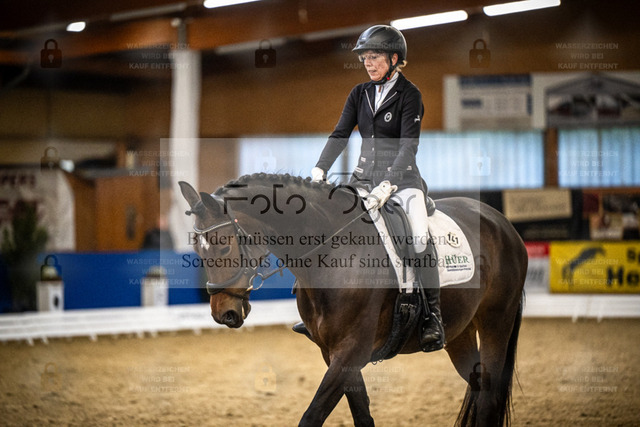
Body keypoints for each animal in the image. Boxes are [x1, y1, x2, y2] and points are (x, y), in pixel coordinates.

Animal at [179, 173, 527, 426]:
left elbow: (312, 417)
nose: (224, 314)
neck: (332, 252)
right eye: (196, 248)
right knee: (478, 382)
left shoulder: (351, 351)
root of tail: (502, 222)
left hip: (497, 321)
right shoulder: (333, 352)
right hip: (460, 332)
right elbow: (362, 415)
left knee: (489, 393)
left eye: (224, 246)